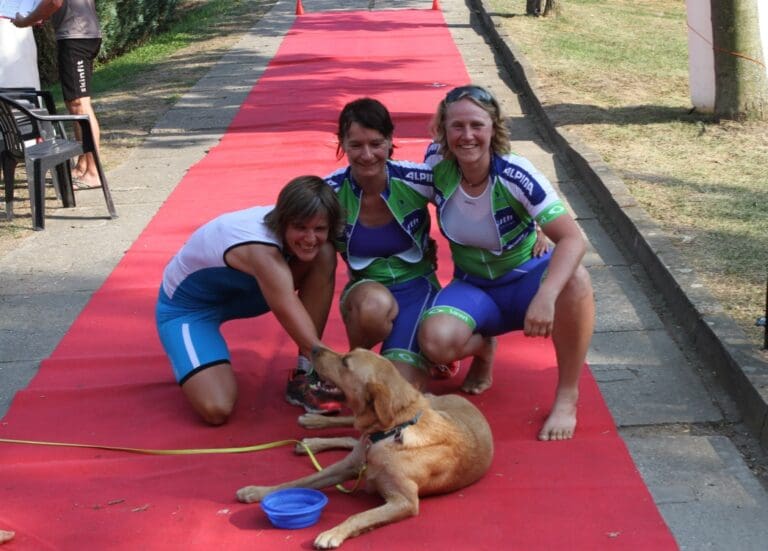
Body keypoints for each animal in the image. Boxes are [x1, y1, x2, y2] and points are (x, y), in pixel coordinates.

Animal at [237, 348, 496, 548]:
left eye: (346, 362)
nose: (314, 347)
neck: (392, 432)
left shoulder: (404, 501)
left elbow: (358, 516)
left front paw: (334, 532)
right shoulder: (343, 467)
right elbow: (298, 482)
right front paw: (258, 491)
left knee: (354, 436)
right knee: (351, 431)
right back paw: (314, 428)